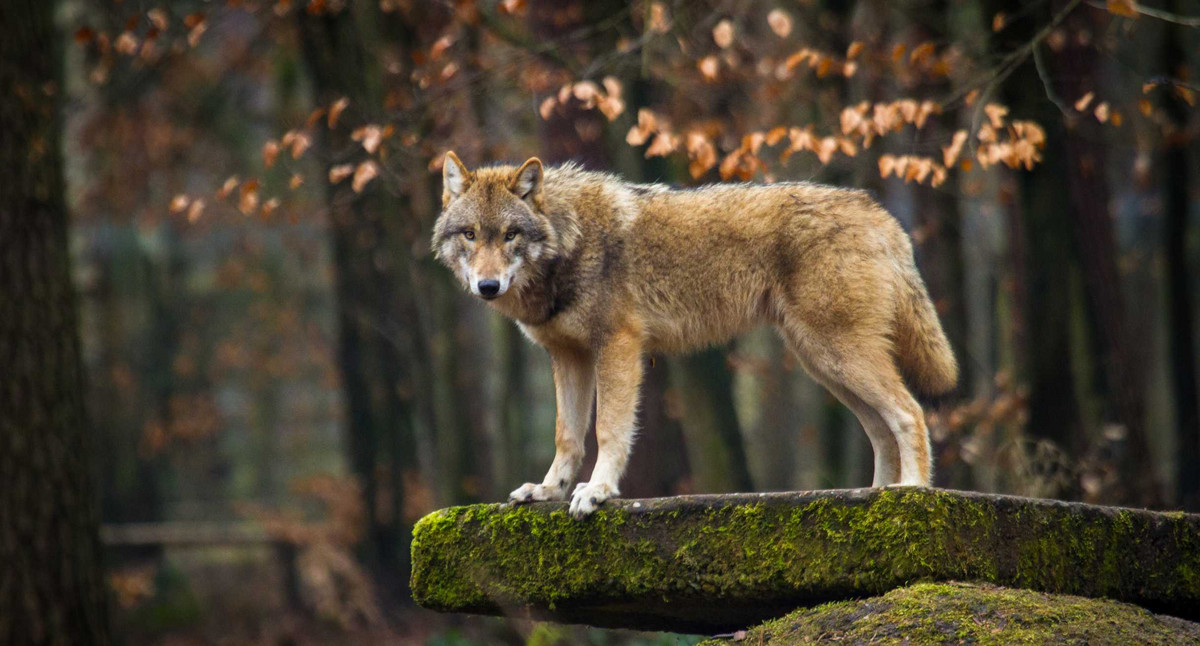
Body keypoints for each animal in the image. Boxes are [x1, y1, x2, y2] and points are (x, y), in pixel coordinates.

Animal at [432, 152, 958, 518]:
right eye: (470, 235)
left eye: (510, 235)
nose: (487, 286)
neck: (570, 239)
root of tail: (879, 213)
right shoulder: (568, 357)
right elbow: (567, 436)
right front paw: (547, 491)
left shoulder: (618, 347)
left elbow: (607, 430)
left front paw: (597, 491)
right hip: (824, 364)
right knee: (881, 428)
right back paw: (874, 495)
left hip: (837, 355)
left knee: (909, 412)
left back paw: (912, 492)